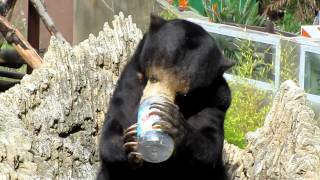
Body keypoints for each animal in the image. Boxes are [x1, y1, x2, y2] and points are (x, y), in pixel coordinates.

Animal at [97, 14, 232, 180]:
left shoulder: (217, 100)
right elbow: (110, 134)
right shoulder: (129, 83)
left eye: (182, 95)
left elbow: (210, 147)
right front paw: (131, 142)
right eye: (154, 78)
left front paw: (173, 122)